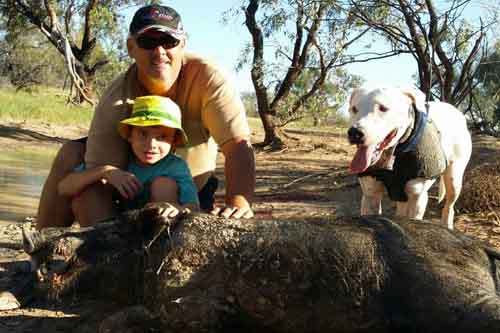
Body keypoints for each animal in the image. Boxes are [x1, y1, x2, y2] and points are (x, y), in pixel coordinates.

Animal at [348, 87, 472, 230]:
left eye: (383, 108)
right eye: (354, 109)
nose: (355, 133)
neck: (394, 153)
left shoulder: (417, 199)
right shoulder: (370, 195)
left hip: (454, 179)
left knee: (449, 206)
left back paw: (447, 225)